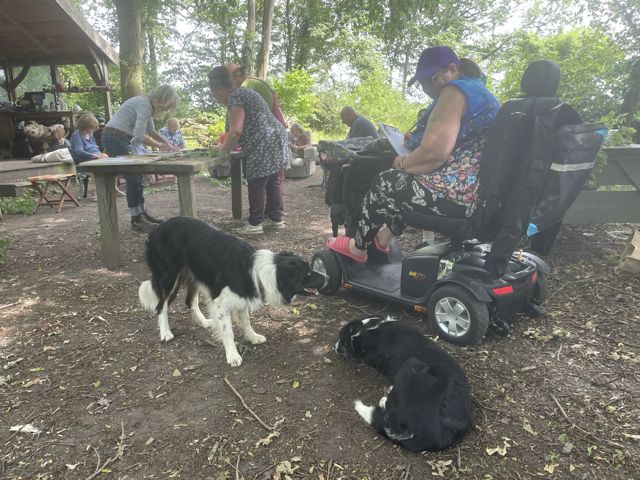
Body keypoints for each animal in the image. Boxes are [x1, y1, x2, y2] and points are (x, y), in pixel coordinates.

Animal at [138, 217, 327, 366]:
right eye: (307, 274)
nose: (326, 277)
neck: (258, 272)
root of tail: (158, 228)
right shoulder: (221, 303)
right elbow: (228, 330)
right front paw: (233, 355)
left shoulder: (242, 295)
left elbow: (246, 320)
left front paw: (252, 337)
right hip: (169, 276)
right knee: (161, 305)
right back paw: (165, 332)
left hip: (194, 273)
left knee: (190, 300)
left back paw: (202, 321)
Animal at [335, 316, 473, 452]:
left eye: (341, 339)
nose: (334, 347)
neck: (368, 329)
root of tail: (436, 435)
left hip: (410, 363)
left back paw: (385, 398)